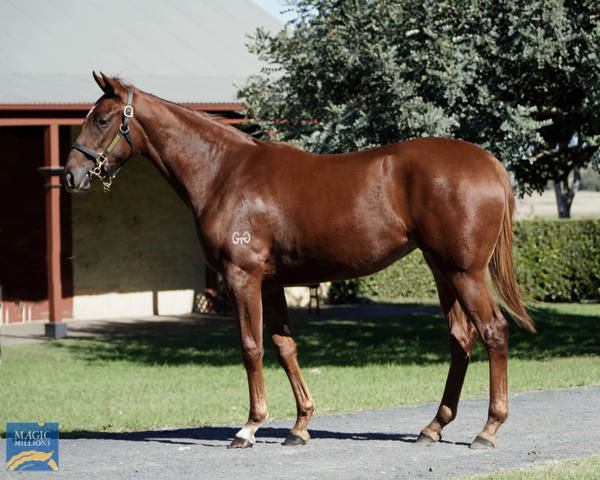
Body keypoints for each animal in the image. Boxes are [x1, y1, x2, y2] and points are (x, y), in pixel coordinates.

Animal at [65, 74, 536, 450]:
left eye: (101, 119)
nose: (71, 174)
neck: (224, 172)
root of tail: (489, 162)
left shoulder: (243, 277)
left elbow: (251, 346)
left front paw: (249, 427)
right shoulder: (271, 283)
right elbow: (284, 346)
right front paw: (300, 424)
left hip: (464, 273)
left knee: (493, 332)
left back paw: (487, 430)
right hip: (443, 271)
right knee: (461, 339)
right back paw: (433, 427)